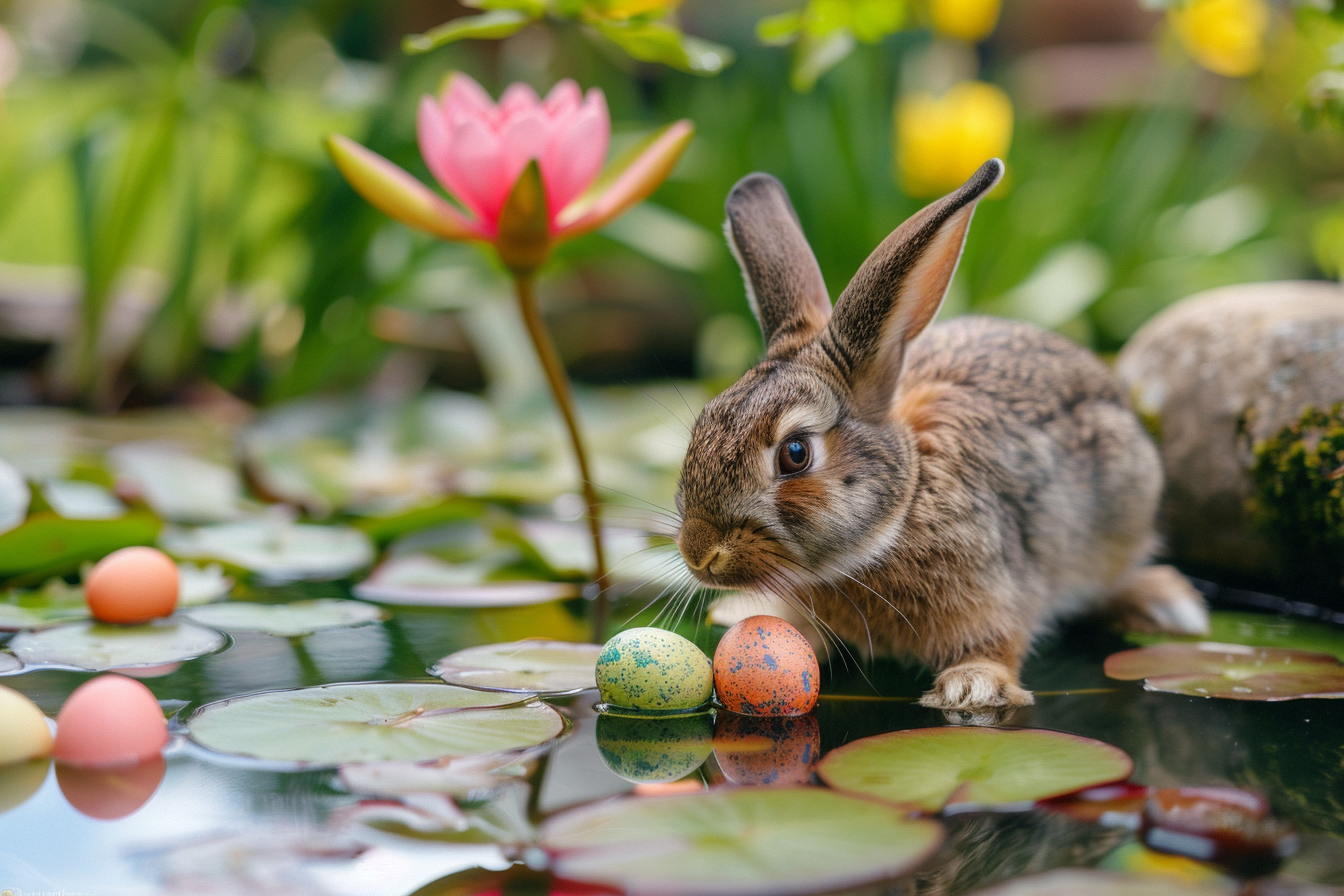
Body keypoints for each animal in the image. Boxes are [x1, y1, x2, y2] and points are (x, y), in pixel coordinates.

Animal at [674, 159, 1210, 711]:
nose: (699, 553)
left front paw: (971, 686)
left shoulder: (997, 591)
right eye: (702, 426)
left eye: (795, 453)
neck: (904, 503)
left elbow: (999, 643)